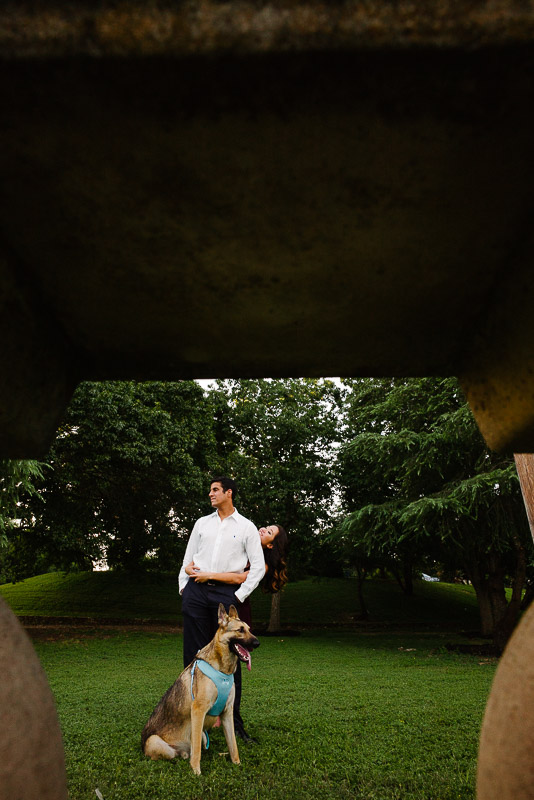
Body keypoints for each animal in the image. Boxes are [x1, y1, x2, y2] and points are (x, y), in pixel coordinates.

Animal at [141, 608, 260, 776]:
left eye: (249, 629)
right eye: (240, 630)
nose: (257, 643)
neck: (222, 670)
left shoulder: (227, 713)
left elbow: (233, 744)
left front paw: (237, 763)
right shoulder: (198, 711)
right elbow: (196, 749)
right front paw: (196, 771)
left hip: (204, 735)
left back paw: (220, 754)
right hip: (157, 742)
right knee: (183, 753)